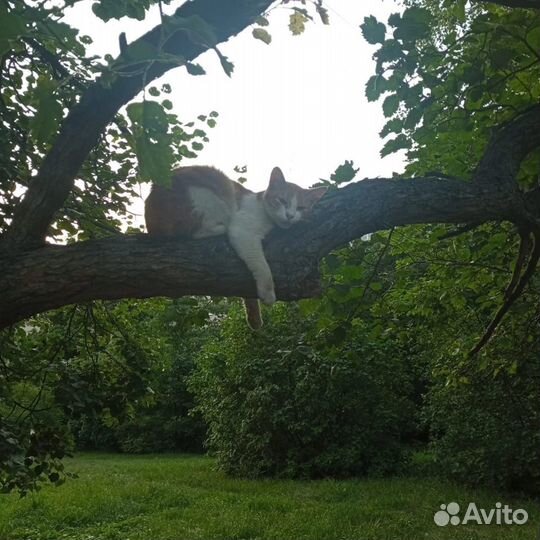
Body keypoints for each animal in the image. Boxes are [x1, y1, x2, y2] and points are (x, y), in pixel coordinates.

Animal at [143, 165, 326, 326]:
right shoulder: (243, 232)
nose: (290, 215)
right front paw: (268, 294)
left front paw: (254, 318)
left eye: (301, 208)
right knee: (195, 231)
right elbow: (263, 267)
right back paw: (220, 228)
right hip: (213, 194)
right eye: (281, 200)